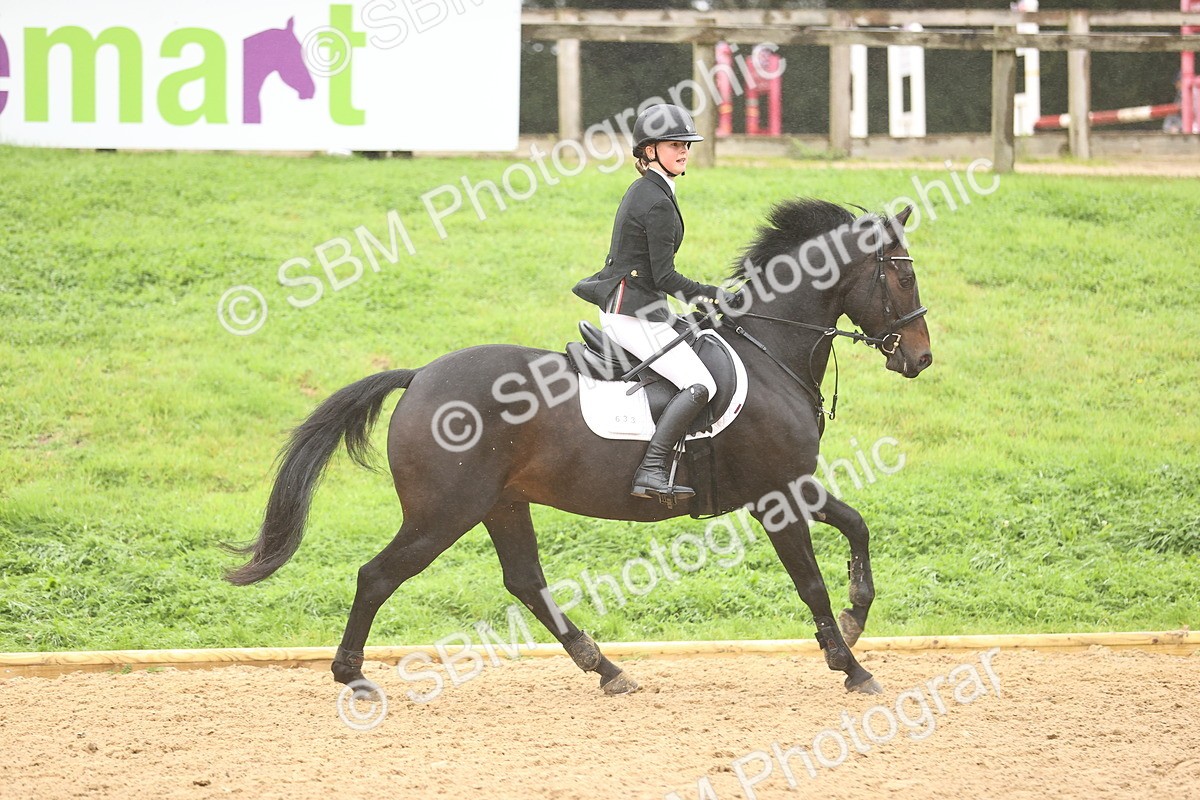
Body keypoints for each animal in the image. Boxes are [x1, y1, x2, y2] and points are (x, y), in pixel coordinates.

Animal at [226, 198, 932, 696]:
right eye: (901, 278)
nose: (920, 359)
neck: (769, 351)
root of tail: (420, 376)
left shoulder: (794, 485)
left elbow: (858, 527)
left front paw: (853, 623)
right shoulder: (775, 496)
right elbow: (810, 580)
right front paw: (851, 665)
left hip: (501, 503)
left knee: (525, 582)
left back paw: (607, 669)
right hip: (444, 512)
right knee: (377, 576)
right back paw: (352, 676)